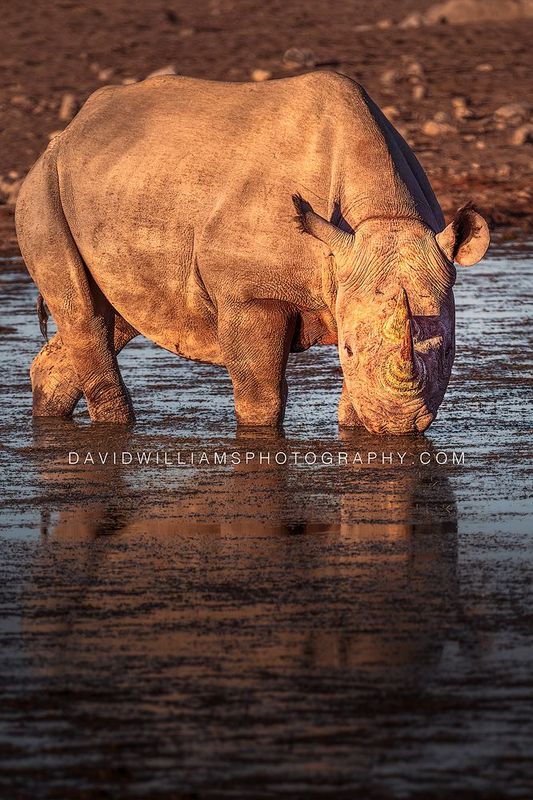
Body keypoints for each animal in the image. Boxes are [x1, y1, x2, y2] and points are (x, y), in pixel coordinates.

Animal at [16, 71, 489, 434]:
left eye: (450, 353)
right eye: (348, 349)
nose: (400, 426)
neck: (386, 216)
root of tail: (69, 132)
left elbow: (356, 397)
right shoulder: (251, 293)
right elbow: (261, 396)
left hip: (122, 184)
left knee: (117, 314)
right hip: (44, 188)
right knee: (85, 314)